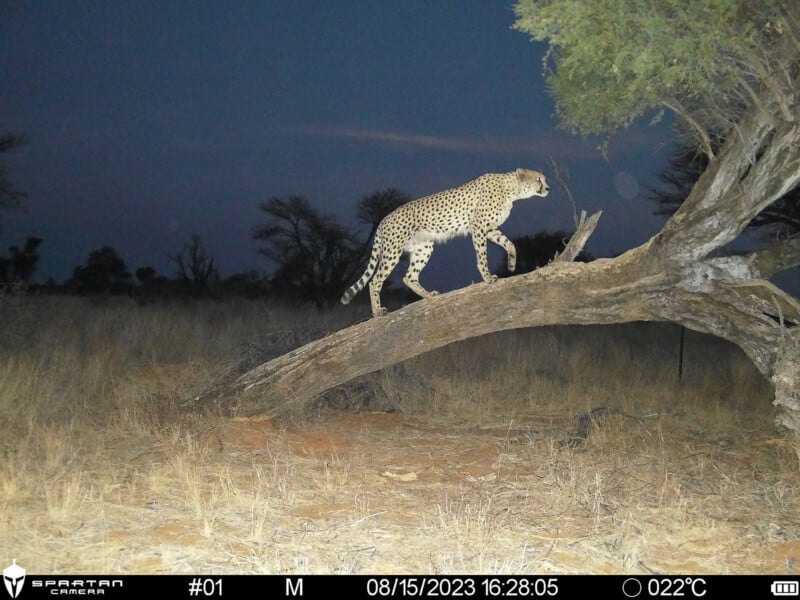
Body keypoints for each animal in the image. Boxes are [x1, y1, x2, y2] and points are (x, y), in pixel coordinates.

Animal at [341, 168, 550, 317]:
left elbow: (509, 243)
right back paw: (377, 311)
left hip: (424, 248)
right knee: (375, 280)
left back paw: (428, 295)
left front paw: (512, 264)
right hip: (393, 251)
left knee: (409, 277)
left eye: (544, 179)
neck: (511, 190)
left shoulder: (490, 229)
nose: (548, 188)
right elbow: (482, 255)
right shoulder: (478, 226)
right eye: (538, 179)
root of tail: (384, 219)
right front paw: (488, 277)